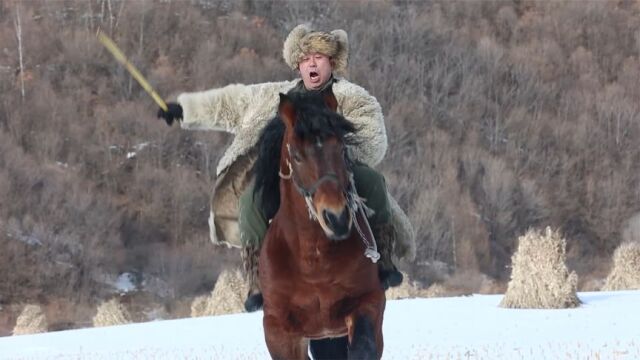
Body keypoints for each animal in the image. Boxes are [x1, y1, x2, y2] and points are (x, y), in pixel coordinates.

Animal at [255, 87, 384, 360]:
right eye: (296, 155)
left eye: (343, 148)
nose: (336, 218)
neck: (313, 261)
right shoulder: (278, 330)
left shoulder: (370, 302)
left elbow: (363, 347)